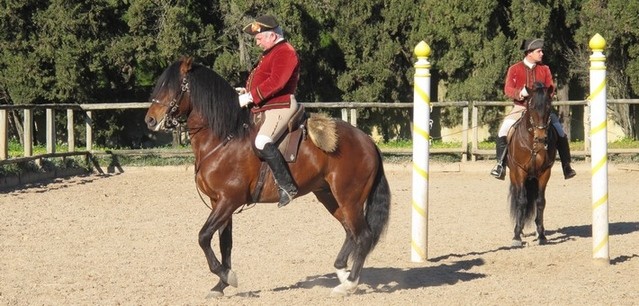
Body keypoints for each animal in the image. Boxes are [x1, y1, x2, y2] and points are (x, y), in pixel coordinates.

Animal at [144, 56, 390, 296]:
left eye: (172, 87)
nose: (150, 120)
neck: (224, 138)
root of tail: (367, 141)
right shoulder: (219, 202)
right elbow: (225, 243)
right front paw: (221, 284)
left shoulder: (229, 201)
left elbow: (203, 236)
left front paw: (226, 276)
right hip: (329, 196)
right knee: (350, 232)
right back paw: (341, 272)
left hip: (349, 198)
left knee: (363, 235)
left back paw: (349, 284)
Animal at [508, 82, 556, 247]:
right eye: (532, 106)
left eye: (549, 107)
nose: (541, 138)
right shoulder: (520, 171)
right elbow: (522, 201)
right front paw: (516, 236)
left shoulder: (544, 173)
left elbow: (540, 202)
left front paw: (541, 235)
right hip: (514, 175)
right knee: (518, 198)